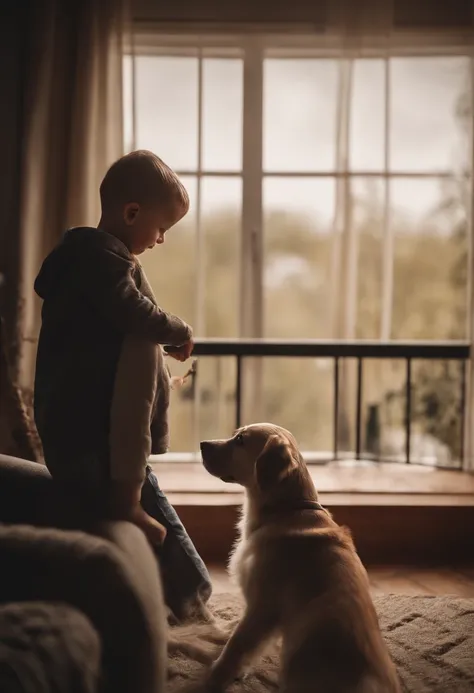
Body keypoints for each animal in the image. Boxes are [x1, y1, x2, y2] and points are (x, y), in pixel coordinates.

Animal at [199, 422, 400, 692]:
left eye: (240, 440)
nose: (202, 444)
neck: (287, 509)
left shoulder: (263, 607)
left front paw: (214, 678)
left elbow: (236, 647)